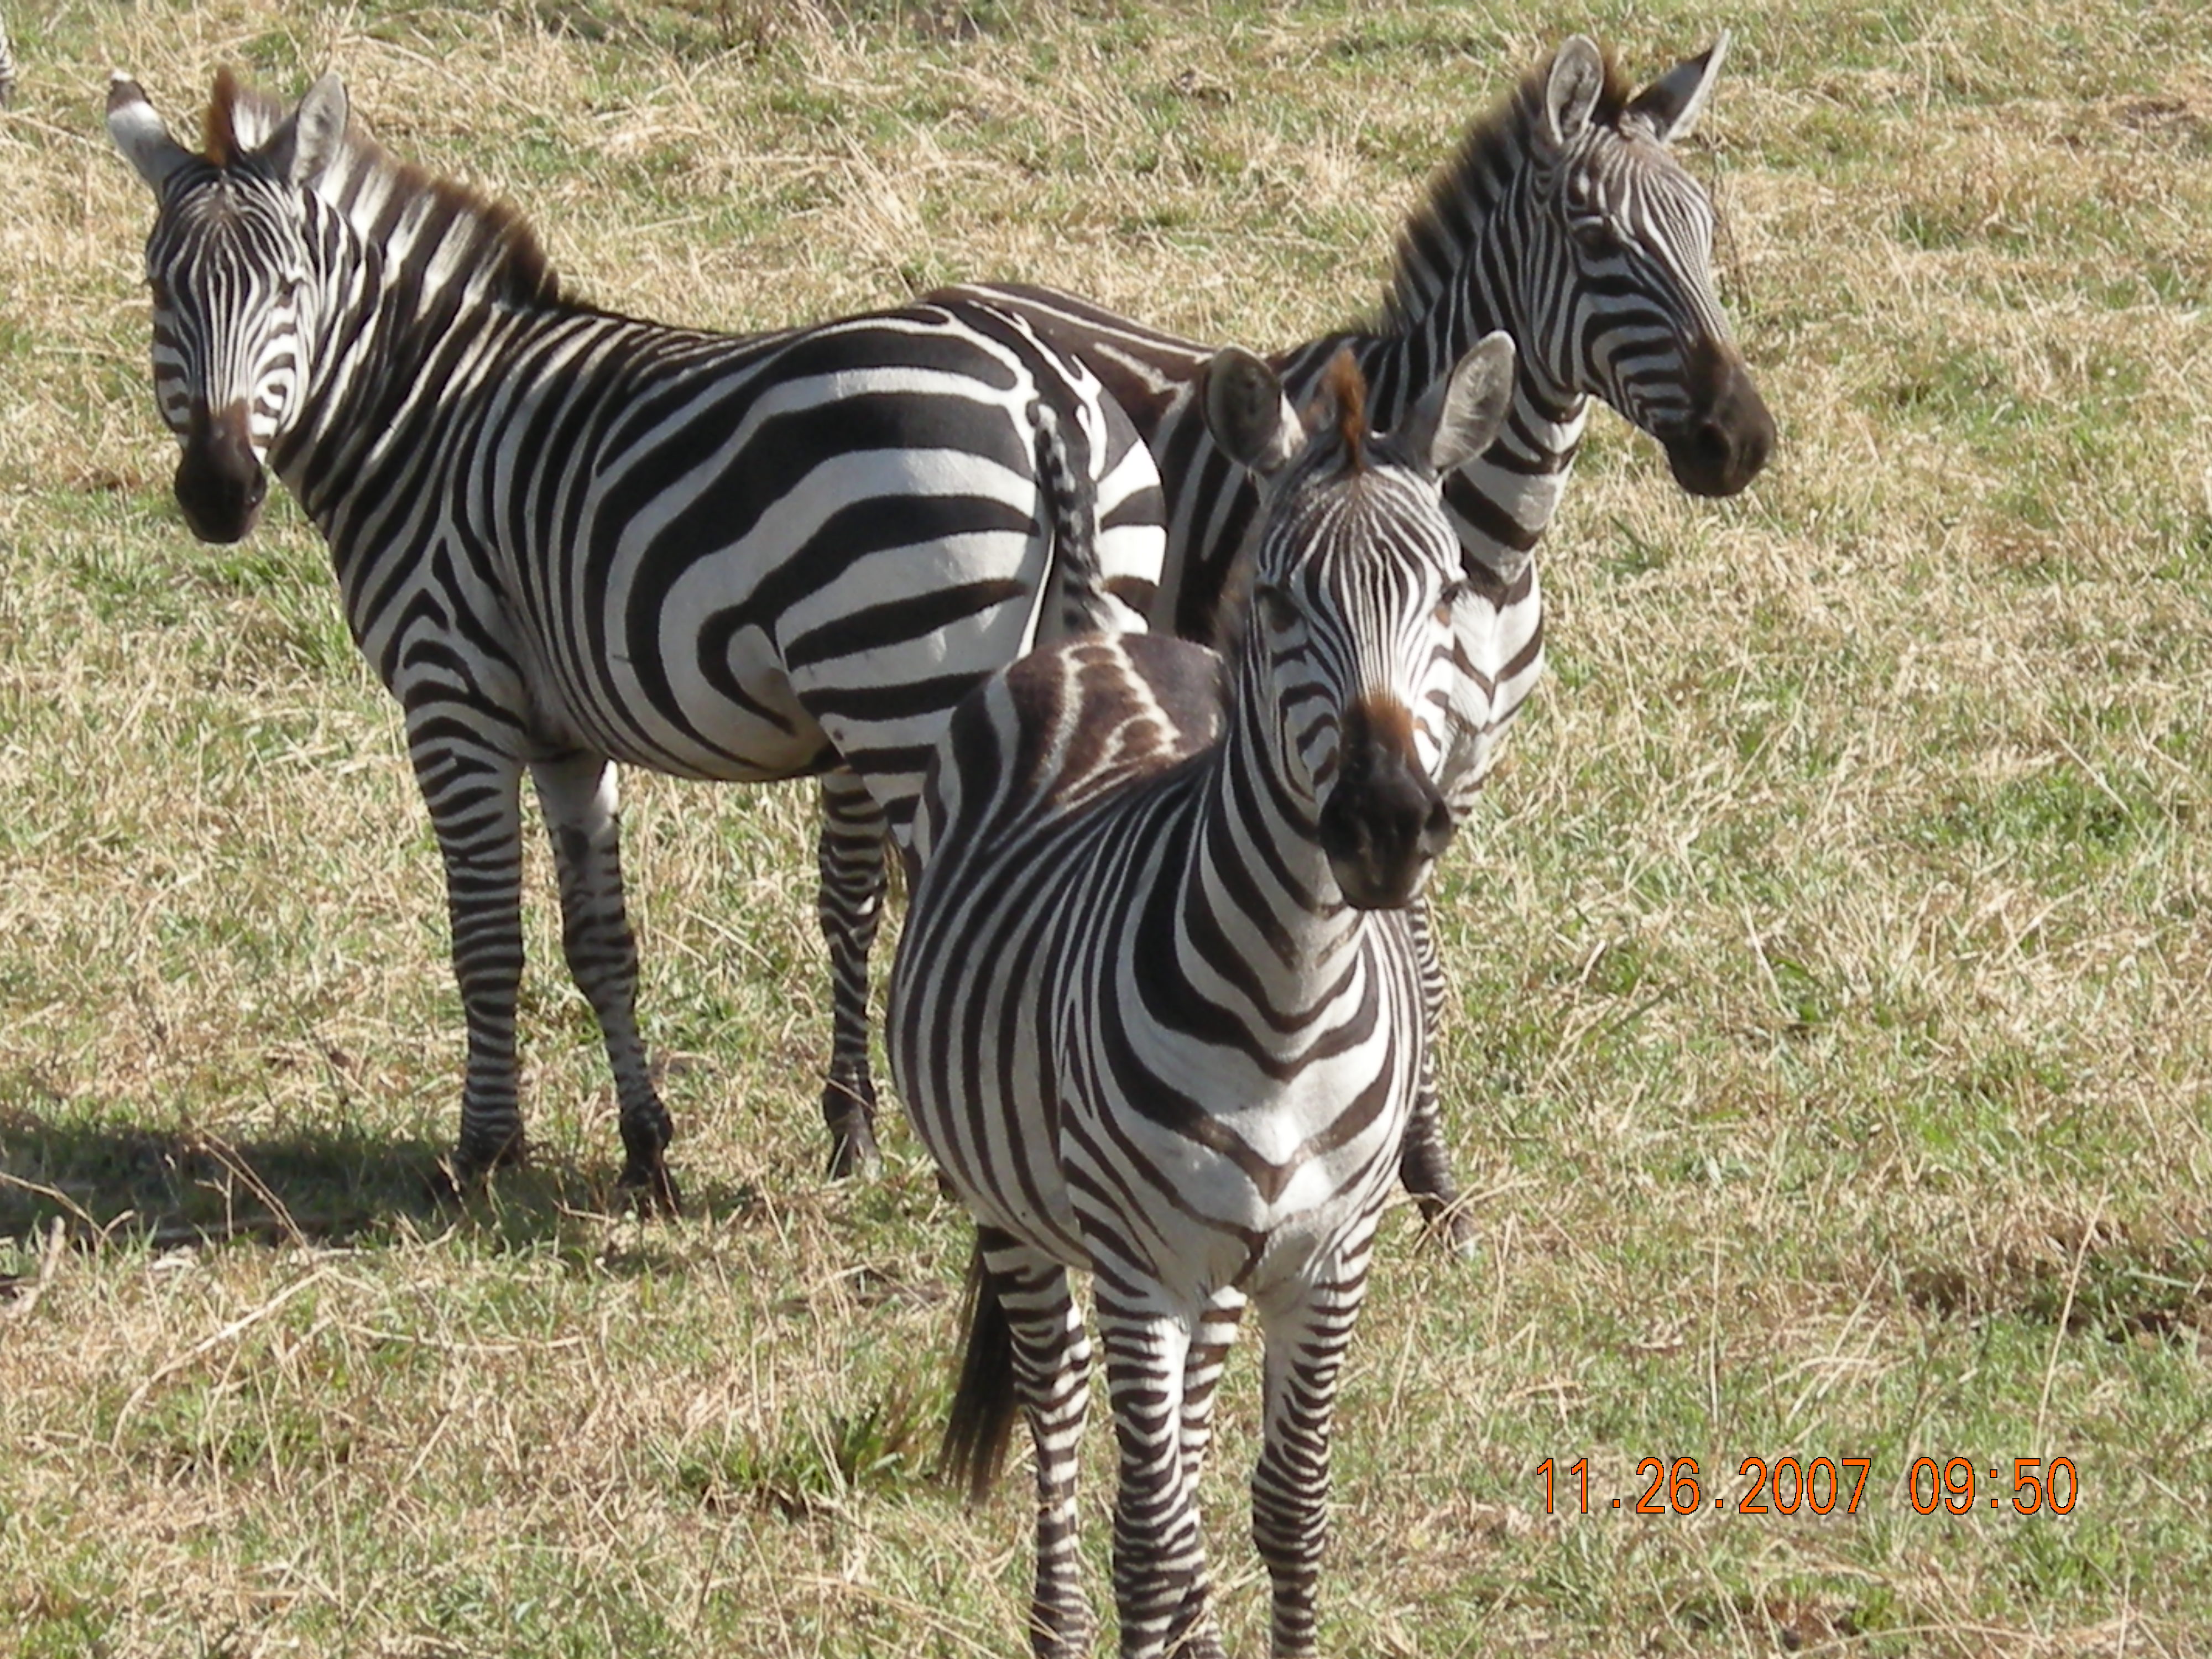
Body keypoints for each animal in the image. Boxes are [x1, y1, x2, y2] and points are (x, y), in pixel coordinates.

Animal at [104, 68, 1168, 1212]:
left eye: (291, 290)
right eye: (161, 292)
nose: (219, 492)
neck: (418, 410)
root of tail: (1037, 386)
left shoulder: (453, 698)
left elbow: (488, 941)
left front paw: (483, 1154)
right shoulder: (568, 737)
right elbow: (600, 941)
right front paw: (646, 1150)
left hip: (902, 690)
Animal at [880, 338, 1522, 1659]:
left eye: (1446, 595)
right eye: (1277, 602)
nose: (1386, 824)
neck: (1289, 1003)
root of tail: (1094, 634)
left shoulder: (1329, 1256)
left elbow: (1288, 1509)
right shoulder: (1139, 1264)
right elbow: (1152, 1535)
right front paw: (1146, 1612)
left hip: (1223, 1268)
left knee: (1185, 1432)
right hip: (1019, 1215)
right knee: (1063, 1406)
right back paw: (1062, 1626)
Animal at [938, 29, 1778, 1248]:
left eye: (1706, 231)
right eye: (1596, 241)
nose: (1738, 441)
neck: (1492, 546)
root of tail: (957, 290)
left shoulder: (1453, 758)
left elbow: (1414, 965)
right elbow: (1415, 964)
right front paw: (1426, 1181)